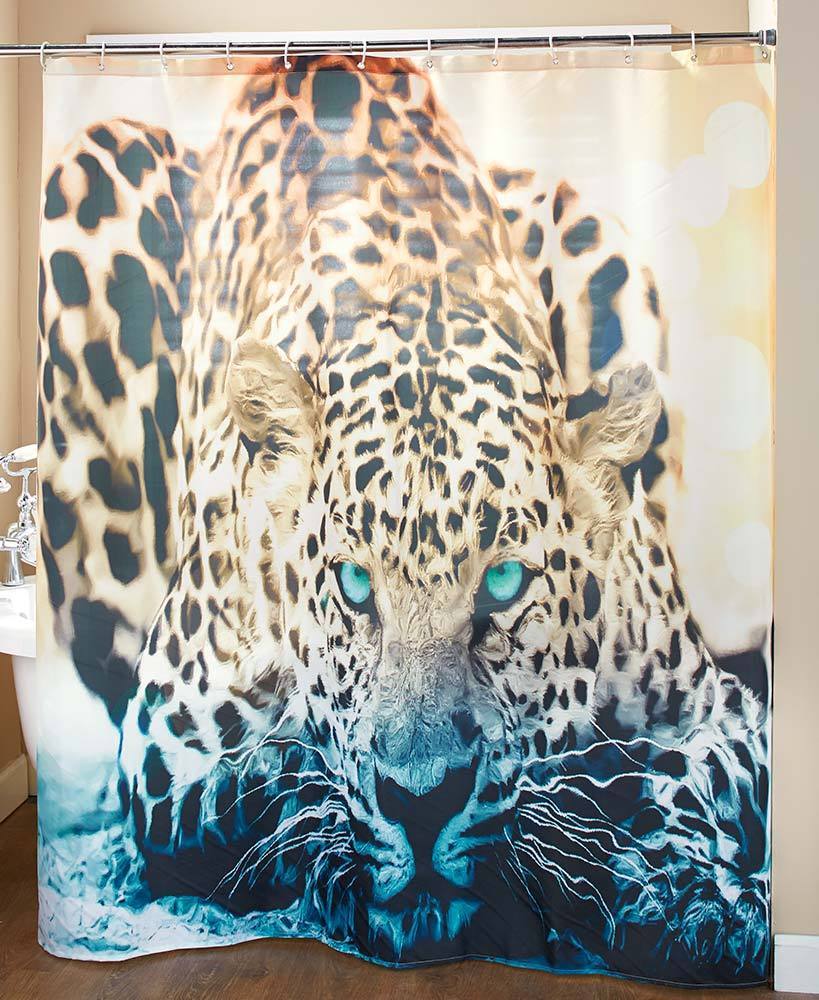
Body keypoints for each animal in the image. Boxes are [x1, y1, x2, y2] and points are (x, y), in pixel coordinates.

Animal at [36, 54, 768, 981]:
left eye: (503, 581)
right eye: (353, 585)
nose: (421, 801)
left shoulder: (717, 712)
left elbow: (673, 780)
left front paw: (670, 886)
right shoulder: (167, 744)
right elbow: (277, 781)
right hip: (87, 173)